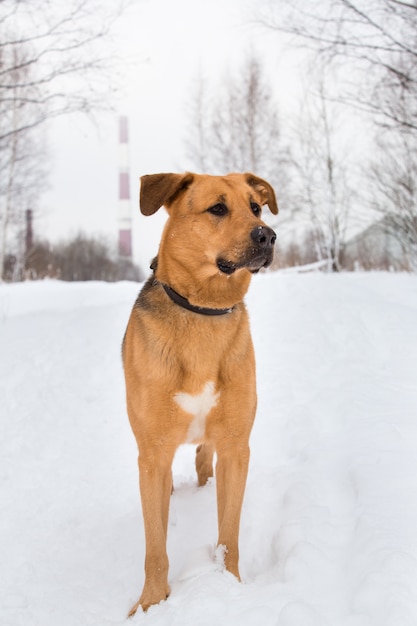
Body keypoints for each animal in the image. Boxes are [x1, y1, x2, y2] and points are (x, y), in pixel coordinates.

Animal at [122, 173, 278, 612]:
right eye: (217, 208)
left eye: (255, 207)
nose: (268, 235)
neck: (203, 311)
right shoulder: (152, 453)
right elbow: (155, 548)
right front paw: (151, 603)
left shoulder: (235, 447)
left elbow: (229, 536)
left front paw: (229, 586)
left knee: (204, 459)